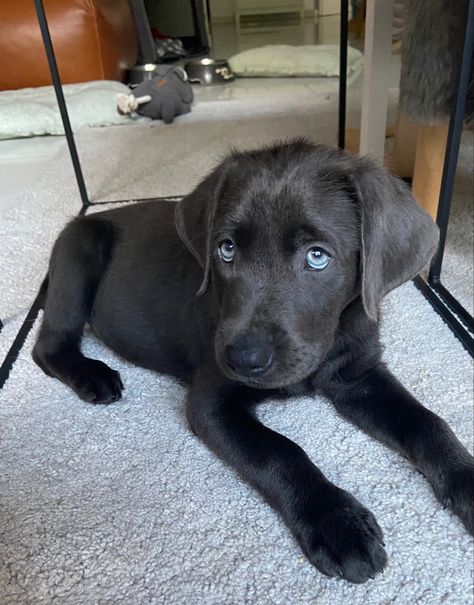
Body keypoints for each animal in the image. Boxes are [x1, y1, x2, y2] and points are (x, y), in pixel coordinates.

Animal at [34, 139, 474, 584]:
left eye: (317, 257)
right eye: (226, 249)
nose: (242, 359)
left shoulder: (359, 374)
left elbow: (427, 423)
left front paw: (465, 479)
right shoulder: (212, 403)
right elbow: (280, 452)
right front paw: (337, 523)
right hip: (78, 253)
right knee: (48, 344)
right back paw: (93, 376)